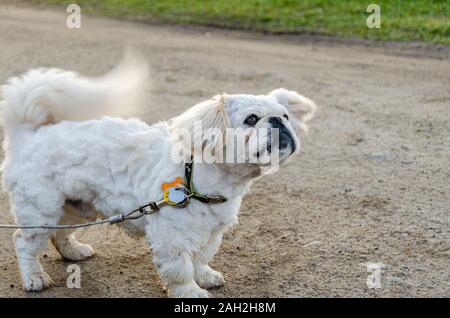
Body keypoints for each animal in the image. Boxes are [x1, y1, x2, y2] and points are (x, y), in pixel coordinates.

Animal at [0, 57, 316, 298]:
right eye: (251, 120)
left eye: (285, 116)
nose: (277, 122)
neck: (199, 177)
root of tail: (28, 134)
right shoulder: (171, 238)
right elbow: (181, 270)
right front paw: (192, 293)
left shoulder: (211, 233)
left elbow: (201, 258)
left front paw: (205, 276)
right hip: (42, 209)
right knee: (23, 242)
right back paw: (34, 278)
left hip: (75, 206)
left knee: (61, 234)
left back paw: (74, 251)